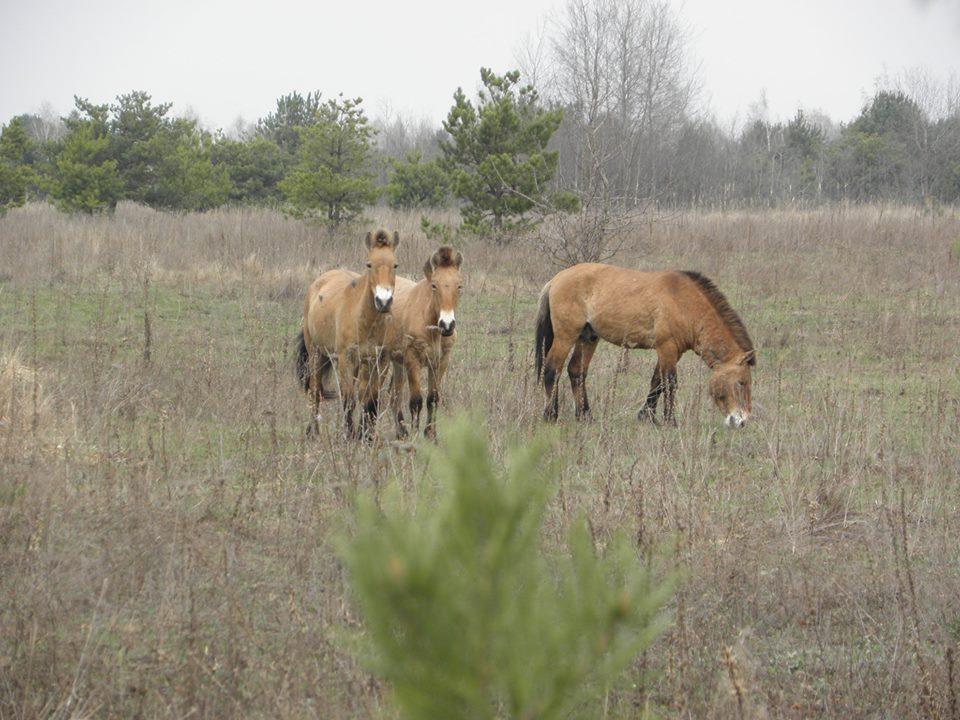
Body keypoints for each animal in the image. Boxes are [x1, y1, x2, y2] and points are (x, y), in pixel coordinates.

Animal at [292, 228, 398, 438]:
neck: (365, 321)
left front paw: (366, 436)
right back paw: (313, 432)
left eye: (395, 265)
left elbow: (371, 401)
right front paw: (349, 436)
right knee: (315, 391)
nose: (383, 301)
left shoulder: (380, 361)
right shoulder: (345, 359)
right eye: (369, 264)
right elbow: (349, 400)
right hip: (316, 354)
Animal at [388, 248, 466, 438]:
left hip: (397, 363)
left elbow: (433, 399)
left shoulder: (440, 362)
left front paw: (430, 434)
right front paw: (416, 436)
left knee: (394, 395)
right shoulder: (413, 359)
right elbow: (416, 400)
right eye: (434, 285)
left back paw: (401, 431)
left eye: (459, 286)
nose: (447, 325)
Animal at [532, 268, 756, 430]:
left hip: (588, 338)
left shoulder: (672, 352)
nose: (742, 421)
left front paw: (647, 416)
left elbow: (657, 383)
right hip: (566, 336)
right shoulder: (666, 348)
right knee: (552, 370)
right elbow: (669, 383)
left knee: (576, 371)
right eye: (741, 382)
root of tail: (556, 280)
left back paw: (585, 416)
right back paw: (551, 415)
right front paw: (670, 421)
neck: (684, 302)